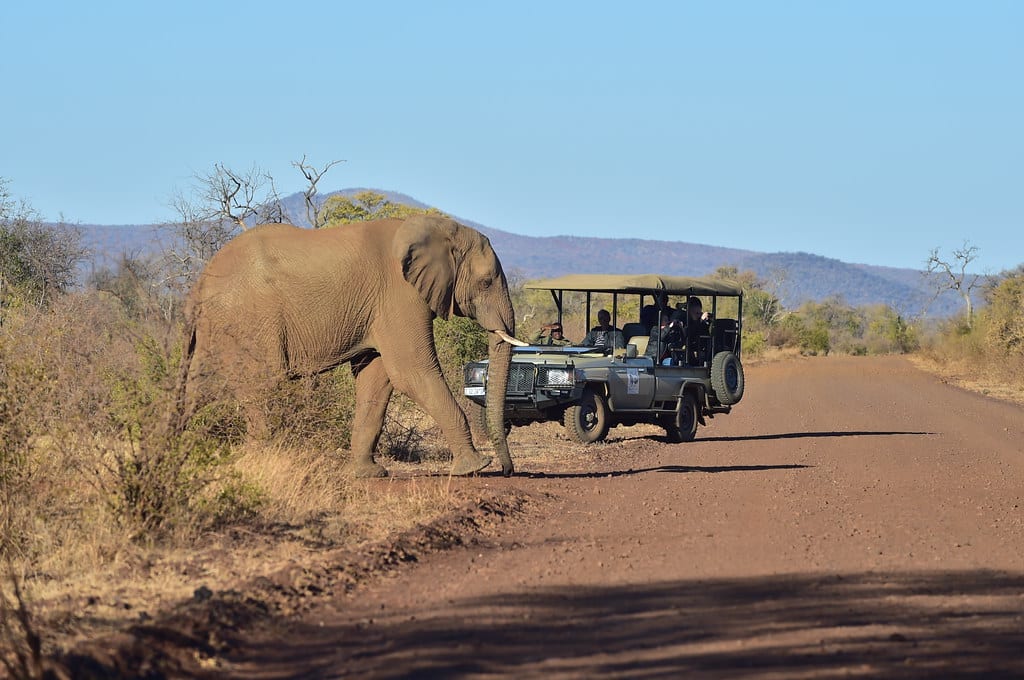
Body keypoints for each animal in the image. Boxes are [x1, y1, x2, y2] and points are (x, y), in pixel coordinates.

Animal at [173, 214, 520, 477]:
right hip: (250, 320)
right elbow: (412, 373)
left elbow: (376, 379)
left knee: (198, 390)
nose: (508, 471)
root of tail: (200, 283)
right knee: (262, 384)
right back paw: (259, 463)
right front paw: (475, 467)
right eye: (485, 282)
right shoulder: (399, 295)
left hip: (216, 328)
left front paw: (368, 474)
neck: (436, 227)